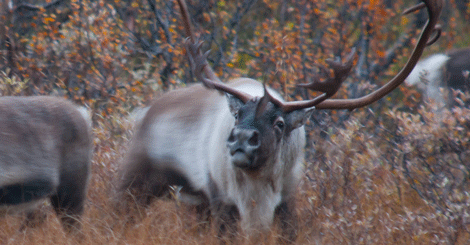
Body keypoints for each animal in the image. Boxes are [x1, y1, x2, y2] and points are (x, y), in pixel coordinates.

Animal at [115, 0, 442, 241]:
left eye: (280, 123)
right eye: (237, 114)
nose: (241, 139)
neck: (258, 190)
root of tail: (146, 110)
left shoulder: (287, 202)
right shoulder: (223, 202)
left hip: (193, 203)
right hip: (137, 181)